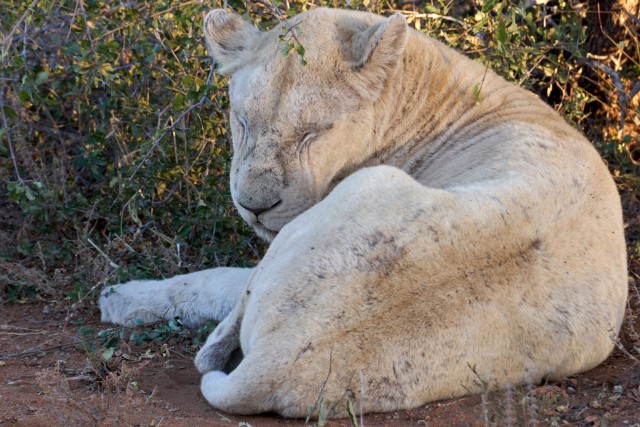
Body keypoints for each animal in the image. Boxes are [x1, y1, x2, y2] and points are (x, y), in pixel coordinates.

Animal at [97, 8, 628, 420]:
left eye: (313, 133)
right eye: (242, 121)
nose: (254, 205)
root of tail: (273, 363)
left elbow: (218, 280)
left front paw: (122, 296)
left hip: (363, 189)